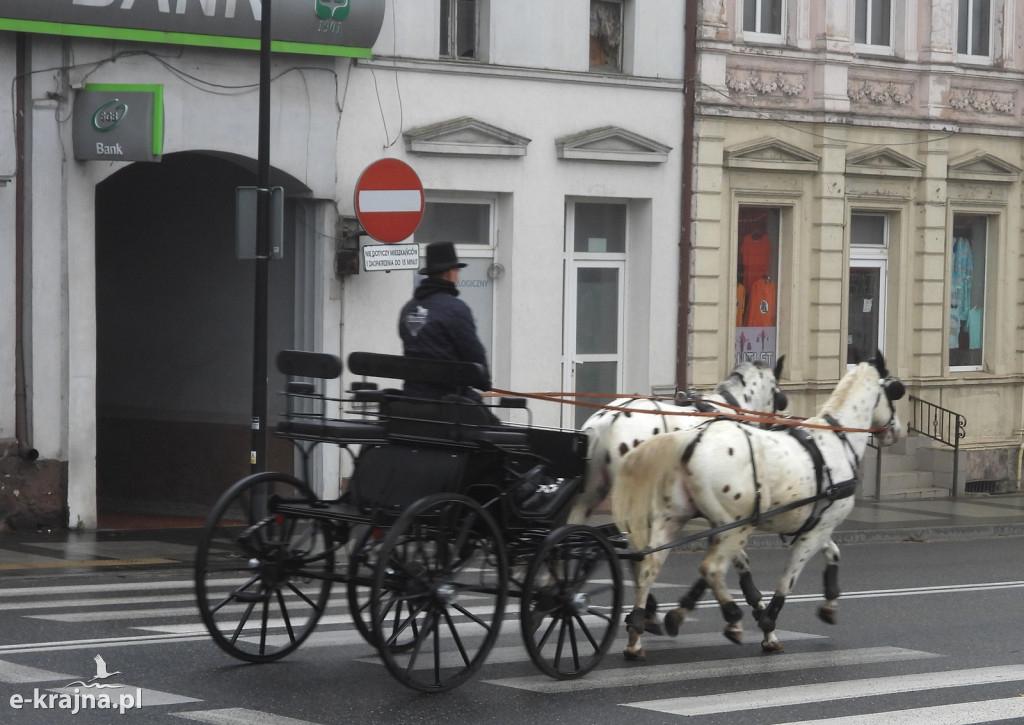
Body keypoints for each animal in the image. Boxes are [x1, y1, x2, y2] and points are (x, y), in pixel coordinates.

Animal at [565, 356, 786, 634]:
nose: (776, 428)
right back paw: (645, 612)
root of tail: (608, 420)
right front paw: (758, 608)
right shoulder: (729, 514)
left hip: (590, 496)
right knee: (636, 552)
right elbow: (739, 559)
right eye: (779, 398)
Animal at [610, 354, 901, 659]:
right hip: (735, 527)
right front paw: (768, 627)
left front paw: (829, 603)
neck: (836, 441)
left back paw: (637, 632)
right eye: (895, 390)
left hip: (678, 521)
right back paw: (732, 619)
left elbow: (833, 553)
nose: (896, 430)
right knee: (710, 569)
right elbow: (786, 582)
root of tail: (691, 441)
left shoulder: (818, 525)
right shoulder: (811, 533)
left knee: (649, 567)